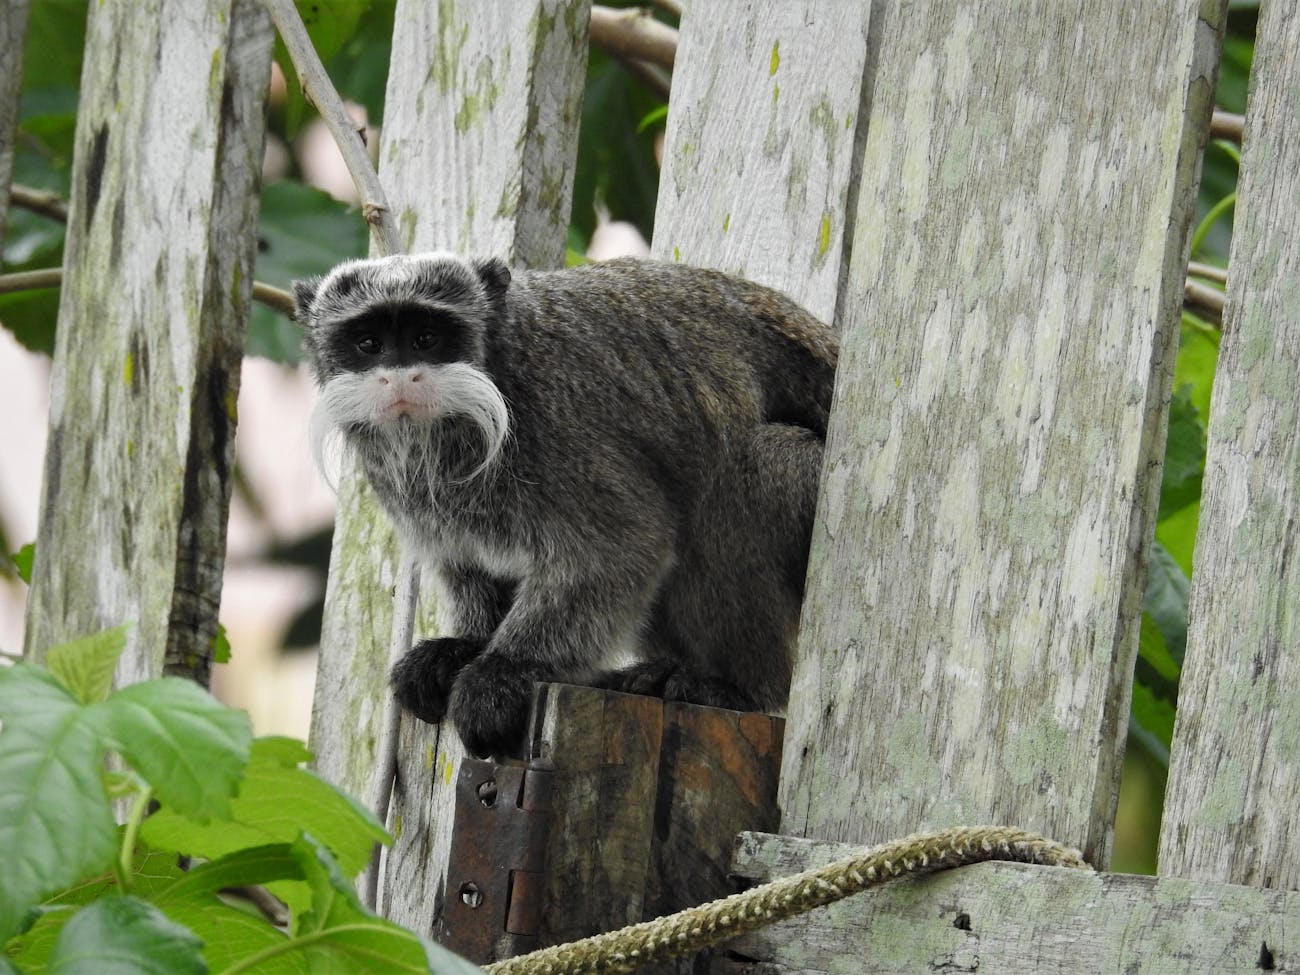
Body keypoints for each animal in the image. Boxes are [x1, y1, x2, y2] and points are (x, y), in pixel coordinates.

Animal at [296, 256, 837, 759]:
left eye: (426, 338)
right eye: (369, 344)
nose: (399, 378)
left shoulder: (560, 424)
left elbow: (618, 551)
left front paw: (504, 672)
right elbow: (469, 565)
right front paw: (465, 647)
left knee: (754, 463)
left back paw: (740, 688)